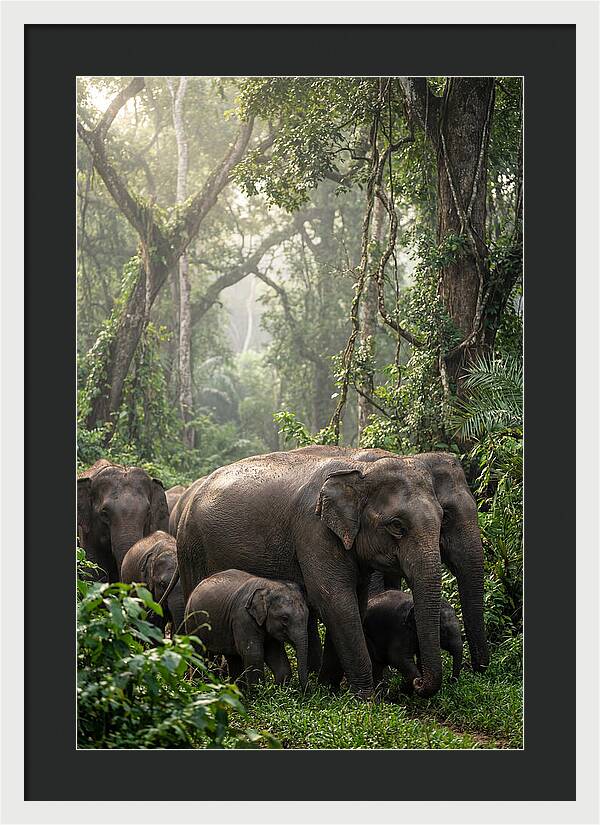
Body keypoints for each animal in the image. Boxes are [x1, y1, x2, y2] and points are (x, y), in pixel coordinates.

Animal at [177, 447, 447, 699]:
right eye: (397, 526)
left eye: (443, 518)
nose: (418, 683)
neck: (361, 470)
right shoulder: (314, 531)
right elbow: (335, 600)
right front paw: (365, 698)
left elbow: (354, 603)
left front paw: (328, 689)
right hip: (191, 549)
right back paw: (205, 680)